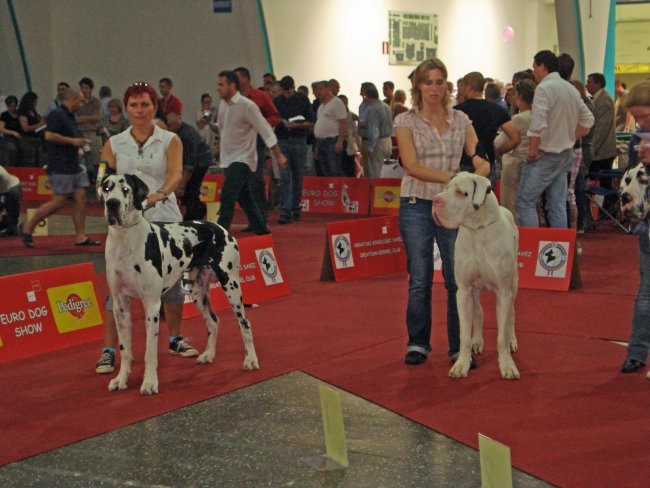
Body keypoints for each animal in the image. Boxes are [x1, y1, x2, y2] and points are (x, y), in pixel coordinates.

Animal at [100, 173, 256, 394]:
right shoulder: (120, 305)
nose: (112, 204)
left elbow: (150, 350)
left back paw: (250, 360)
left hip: (231, 284)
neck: (125, 239)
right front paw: (121, 379)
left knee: (245, 323)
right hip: (198, 292)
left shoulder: (152, 305)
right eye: (106, 188)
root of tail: (219, 227)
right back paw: (208, 354)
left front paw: (149, 382)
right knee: (213, 321)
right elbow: (125, 348)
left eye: (126, 189)